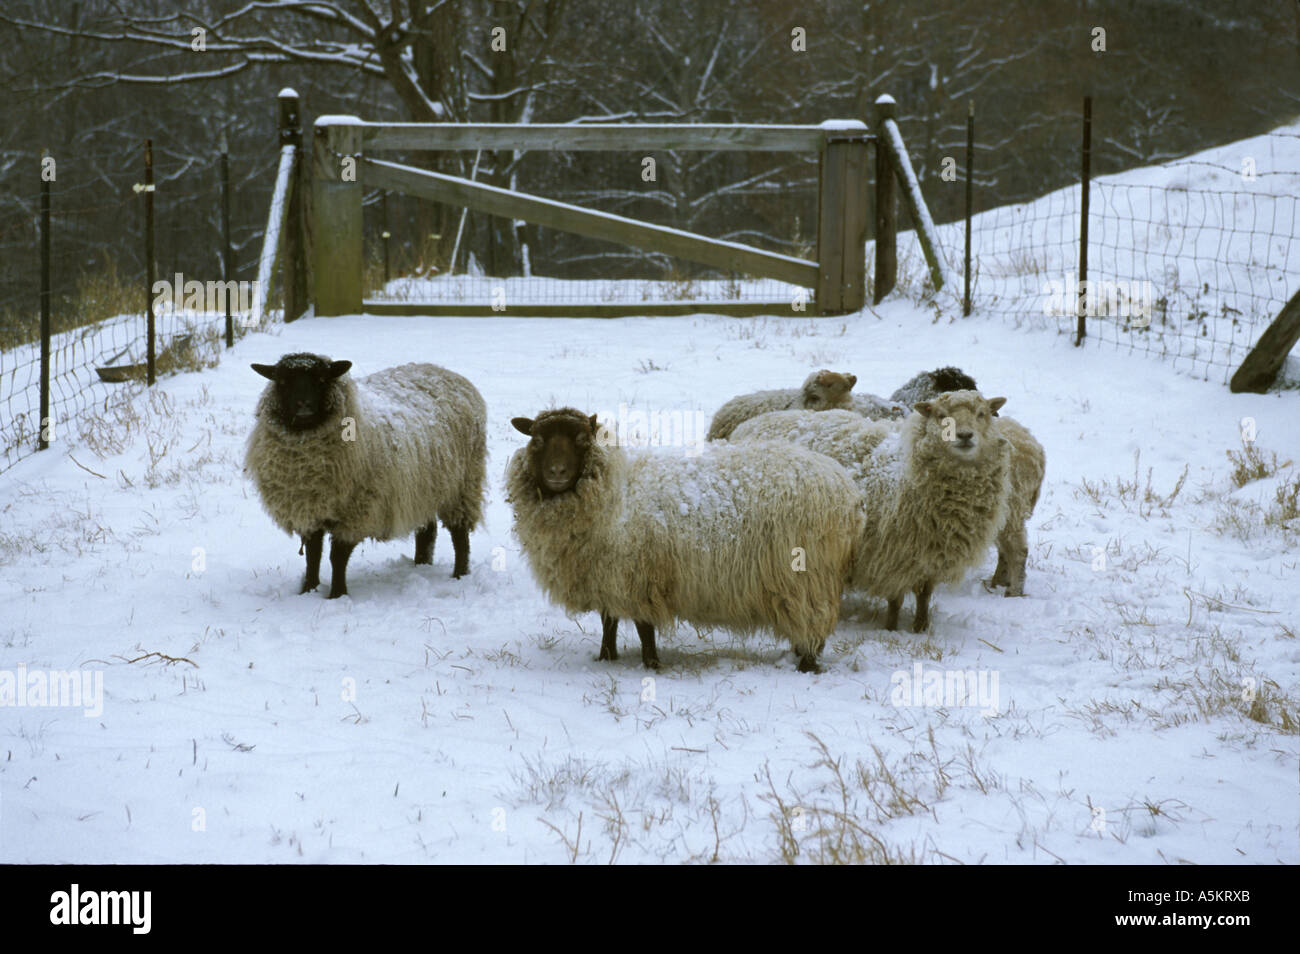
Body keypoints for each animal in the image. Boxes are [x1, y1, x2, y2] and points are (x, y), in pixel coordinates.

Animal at [244, 356, 488, 600]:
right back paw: (421, 565)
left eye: (321, 379)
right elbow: (313, 555)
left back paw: (459, 574)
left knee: (460, 536)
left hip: (463, 485)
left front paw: (337, 594)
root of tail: (446, 372)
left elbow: (337, 557)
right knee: (427, 532)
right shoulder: (310, 510)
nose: (303, 404)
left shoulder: (357, 511)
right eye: (283, 382)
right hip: (424, 487)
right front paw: (308, 590)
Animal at [504, 408, 863, 670]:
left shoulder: (637, 576)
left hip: (807, 576)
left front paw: (651, 663)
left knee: (814, 624)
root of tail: (846, 489)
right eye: (537, 440)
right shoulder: (608, 577)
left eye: (580, 438)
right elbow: (609, 622)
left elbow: (643, 628)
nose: (557, 473)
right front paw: (606, 658)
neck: (614, 494)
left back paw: (806, 665)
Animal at [728, 389, 1008, 634]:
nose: (965, 435)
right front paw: (891, 629)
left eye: (982, 413)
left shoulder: (930, 556)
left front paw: (921, 627)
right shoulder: (892, 555)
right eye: (941, 415)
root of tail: (750, 424)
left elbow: (924, 595)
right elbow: (895, 599)